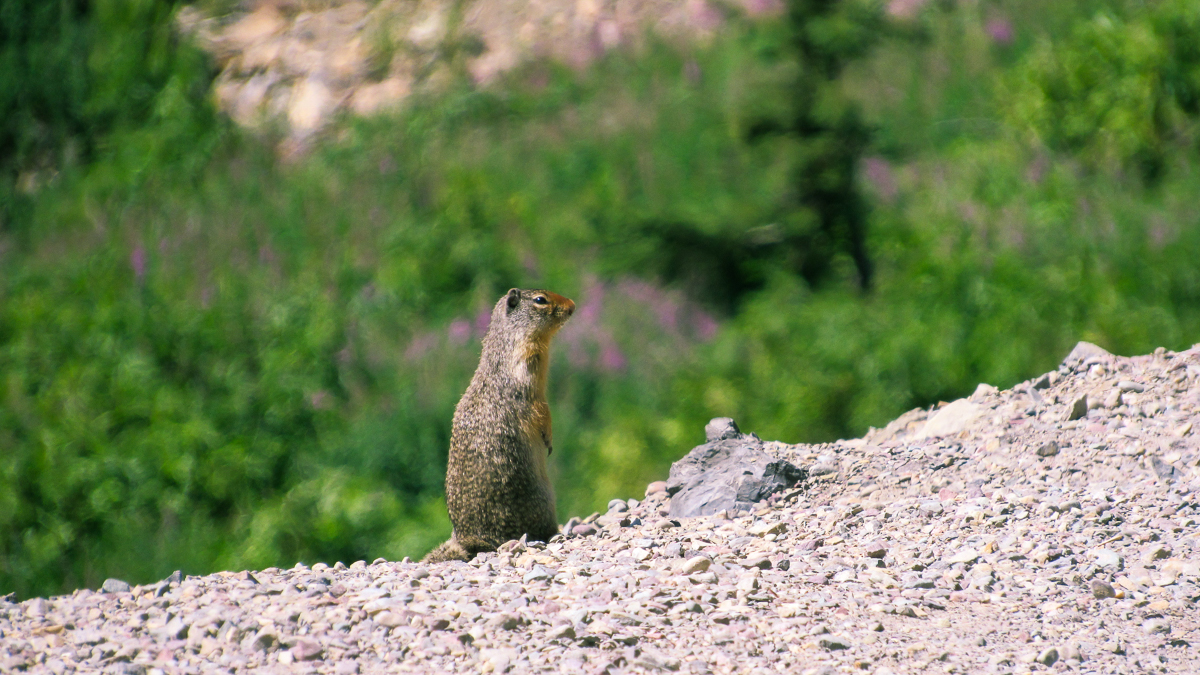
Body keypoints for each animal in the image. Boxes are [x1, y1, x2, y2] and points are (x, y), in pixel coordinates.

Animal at [424, 285, 573, 559]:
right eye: (540, 300)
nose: (573, 305)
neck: (508, 343)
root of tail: (466, 540)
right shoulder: (527, 371)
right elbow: (540, 410)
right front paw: (548, 440)